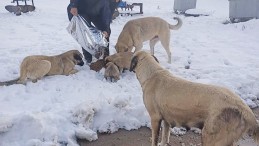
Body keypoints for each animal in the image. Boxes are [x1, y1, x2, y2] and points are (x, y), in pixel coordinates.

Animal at [131, 50, 259, 146]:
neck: (152, 73)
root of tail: (244, 108)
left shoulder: (155, 118)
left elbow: (155, 138)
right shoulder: (166, 119)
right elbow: (165, 135)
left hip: (210, 137)